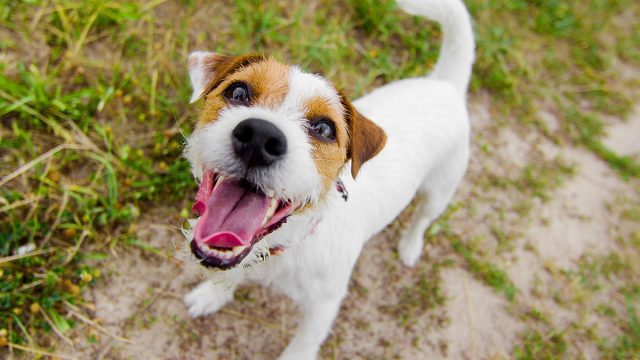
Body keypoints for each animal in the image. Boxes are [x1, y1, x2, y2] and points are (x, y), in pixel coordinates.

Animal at [182, 0, 472, 358]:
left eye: (324, 128)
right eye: (238, 91)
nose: (259, 138)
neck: (289, 242)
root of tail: (446, 85)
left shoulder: (324, 306)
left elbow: (303, 344)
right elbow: (231, 273)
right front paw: (211, 295)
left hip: (440, 190)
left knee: (422, 217)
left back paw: (409, 246)